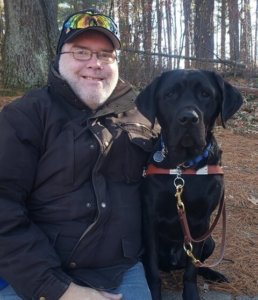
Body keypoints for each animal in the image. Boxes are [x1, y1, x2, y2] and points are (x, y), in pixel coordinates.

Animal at [136, 70, 243, 300]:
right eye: (169, 94)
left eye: (205, 94)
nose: (188, 118)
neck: (183, 169)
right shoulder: (150, 218)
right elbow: (152, 269)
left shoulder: (201, 221)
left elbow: (192, 270)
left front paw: (192, 294)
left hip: (211, 240)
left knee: (198, 263)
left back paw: (214, 273)